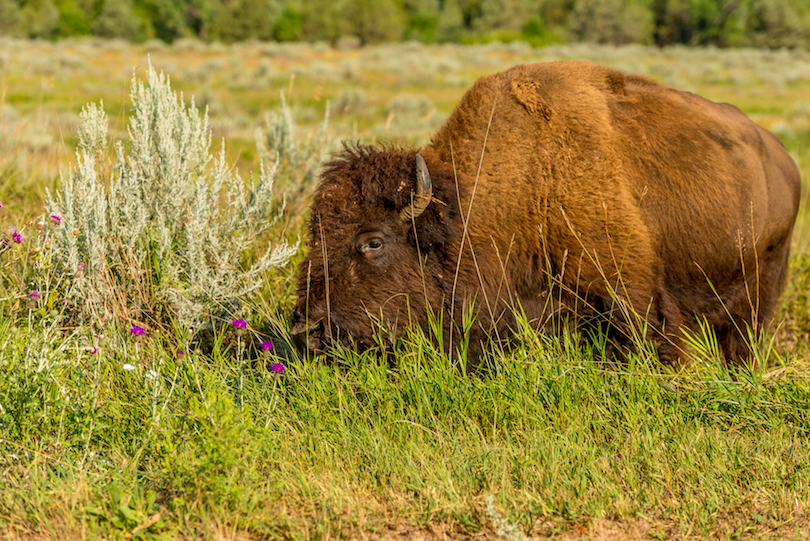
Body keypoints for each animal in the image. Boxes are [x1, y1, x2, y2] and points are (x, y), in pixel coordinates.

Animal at [288, 62, 800, 368]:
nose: (308, 331)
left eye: (372, 241)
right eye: (315, 235)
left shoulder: (632, 290)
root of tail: (783, 159)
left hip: (760, 287)